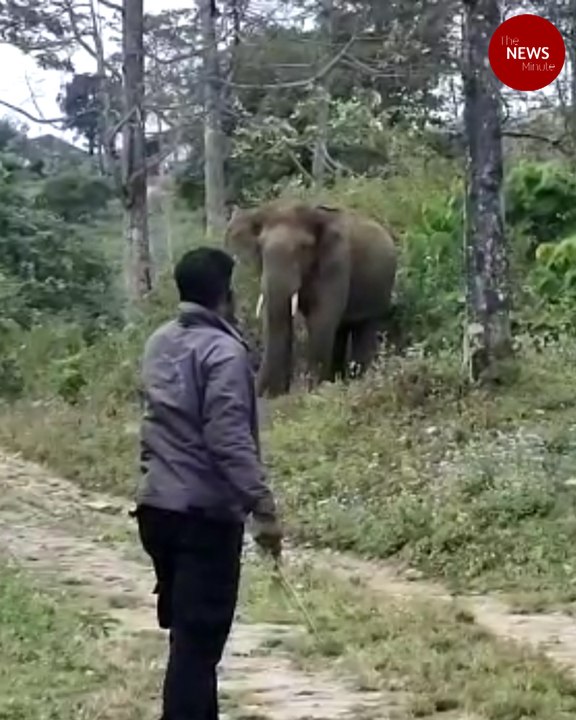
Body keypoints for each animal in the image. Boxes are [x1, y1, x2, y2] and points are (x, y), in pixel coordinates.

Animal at [224, 200, 398, 397]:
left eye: (303, 248)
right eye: (260, 247)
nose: (260, 393)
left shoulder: (336, 263)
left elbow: (321, 317)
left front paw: (313, 392)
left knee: (364, 326)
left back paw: (356, 380)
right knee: (340, 330)